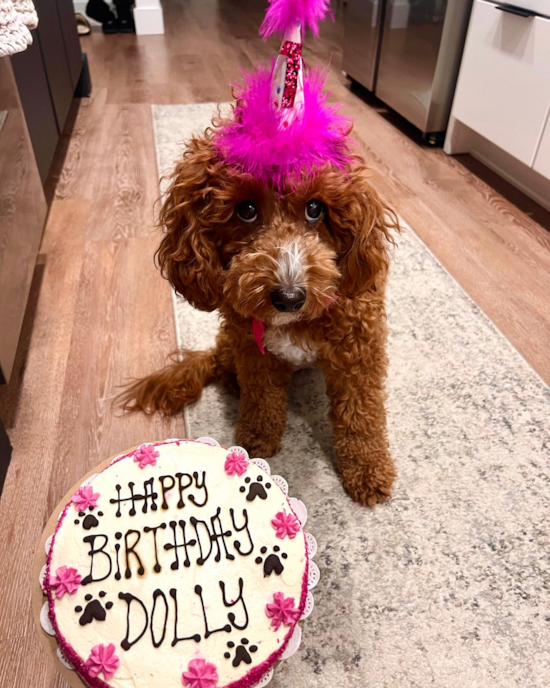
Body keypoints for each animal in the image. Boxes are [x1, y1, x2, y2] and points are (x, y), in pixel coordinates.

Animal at [118, 129, 398, 506]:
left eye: (315, 209)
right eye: (246, 210)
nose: (289, 298)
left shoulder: (358, 354)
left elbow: (361, 416)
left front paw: (368, 471)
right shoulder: (254, 351)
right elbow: (261, 397)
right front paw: (256, 440)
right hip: (232, 339)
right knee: (225, 365)